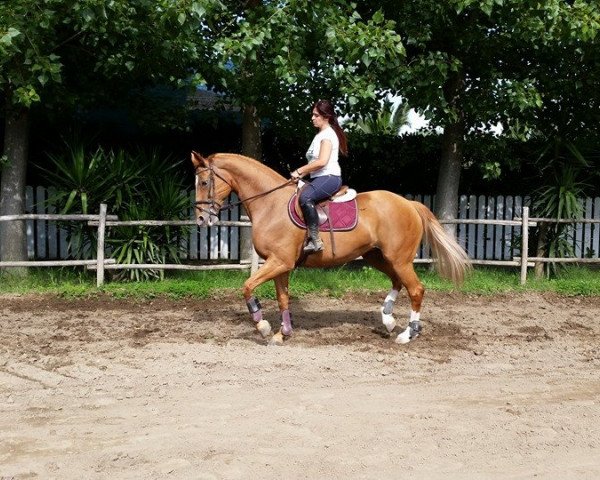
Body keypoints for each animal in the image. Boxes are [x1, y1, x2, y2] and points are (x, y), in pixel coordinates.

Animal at [191, 152, 468, 344]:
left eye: (204, 182)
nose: (202, 219)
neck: (270, 203)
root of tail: (409, 203)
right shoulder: (280, 264)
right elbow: (282, 298)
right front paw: (283, 333)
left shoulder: (279, 262)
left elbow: (247, 287)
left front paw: (263, 327)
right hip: (378, 257)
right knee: (398, 283)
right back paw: (388, 320)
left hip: (399, 259)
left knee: (416, 290)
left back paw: (407, 335)